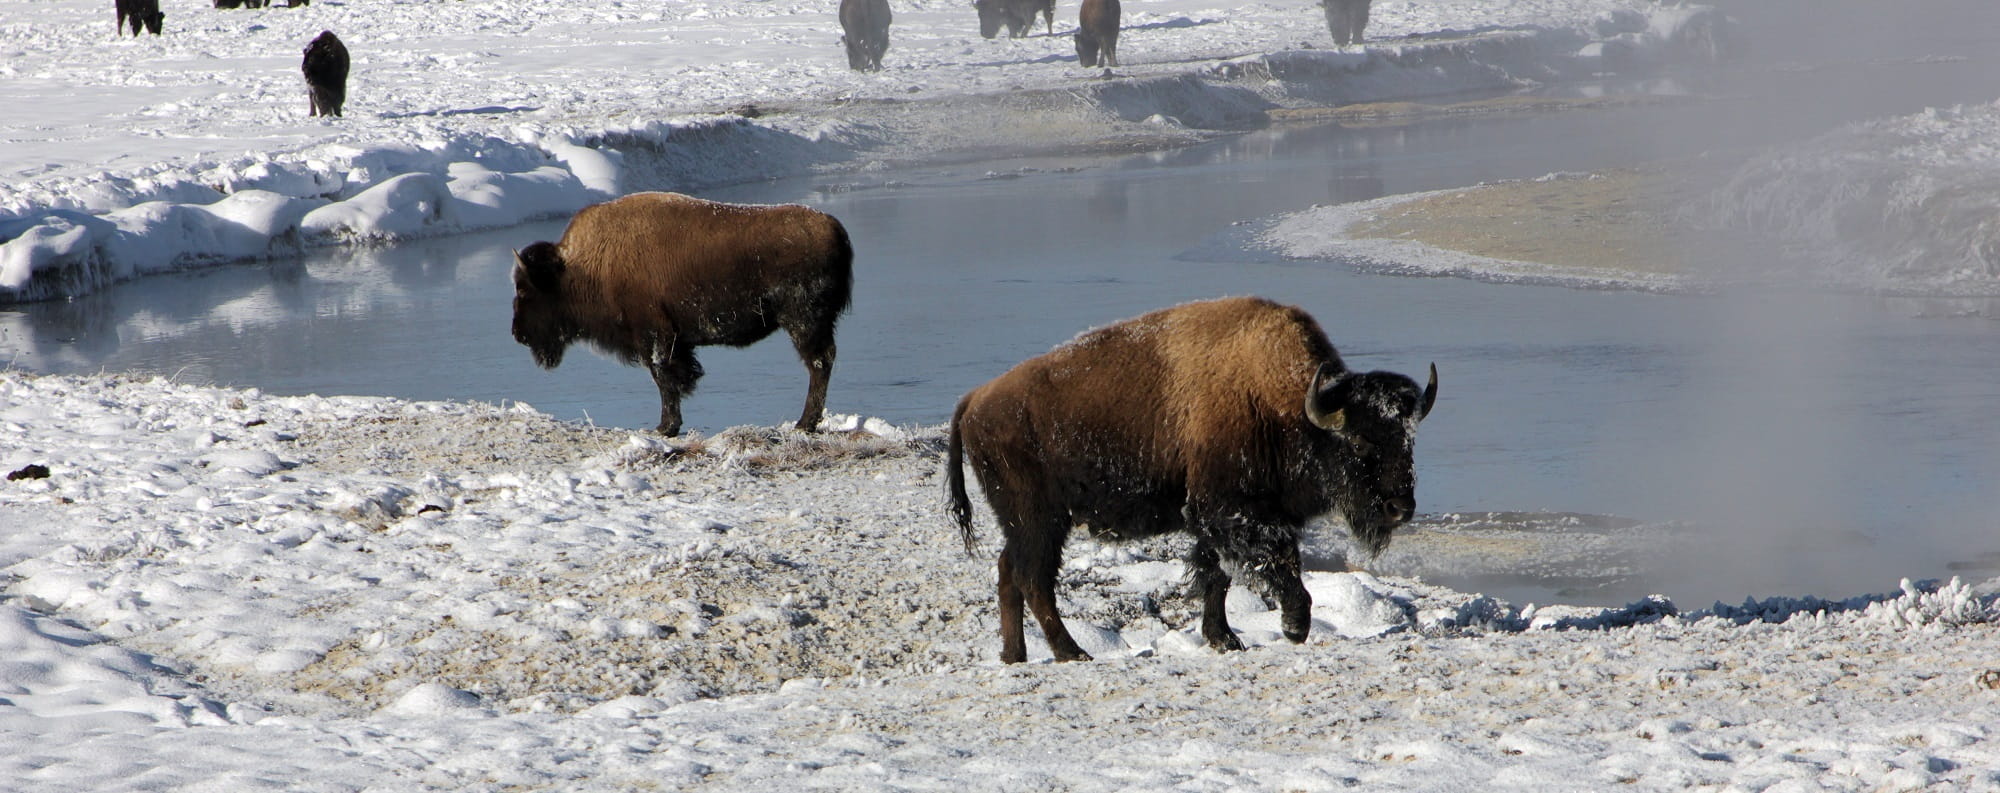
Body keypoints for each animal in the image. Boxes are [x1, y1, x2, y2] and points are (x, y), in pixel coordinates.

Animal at [511, 192, 855, 436]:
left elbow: (664, 378)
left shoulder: (654, 337)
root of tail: (834, 229)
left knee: (819, 363)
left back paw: (804, 423)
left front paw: (665, 427)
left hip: (803, 322)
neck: (582, 267)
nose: (517, 333)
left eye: (525, 290)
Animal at [947, 296, 1437, 663]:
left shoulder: (1220, 521)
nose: (1400, 508)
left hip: (1026, 523)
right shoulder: (1233, 513)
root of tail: (973, 400)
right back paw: (1072, 653)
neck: (1287, 409)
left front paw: (1225, 639)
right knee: (1034, 579)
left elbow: (1215, 575)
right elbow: (1276, 561)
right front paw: (1294, 627)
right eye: (1359, 442)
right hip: (1040, 519)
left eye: (1408, 439)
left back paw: (1016, 655)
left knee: (1010, 572)